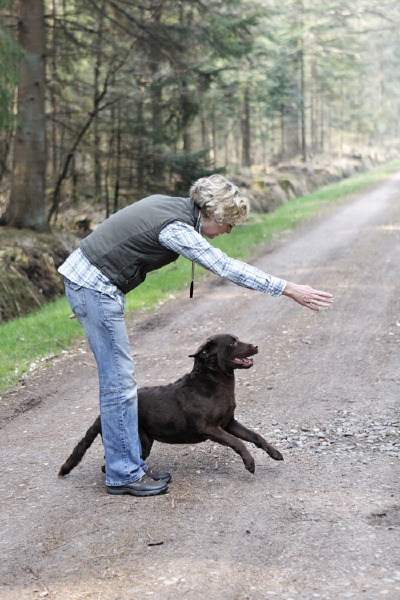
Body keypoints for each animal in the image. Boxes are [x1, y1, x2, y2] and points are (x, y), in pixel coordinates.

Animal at [58, 332, 284, 478]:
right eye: (233, 343)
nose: (256, 346)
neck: (213, 381)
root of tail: (102, 414)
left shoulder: (229, 423)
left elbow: (255, 436)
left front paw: (274, 453)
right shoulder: (210, 428)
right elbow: (238, 442)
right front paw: (250, 463)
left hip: (144, 441)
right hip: (139, 441)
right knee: (110, 465)